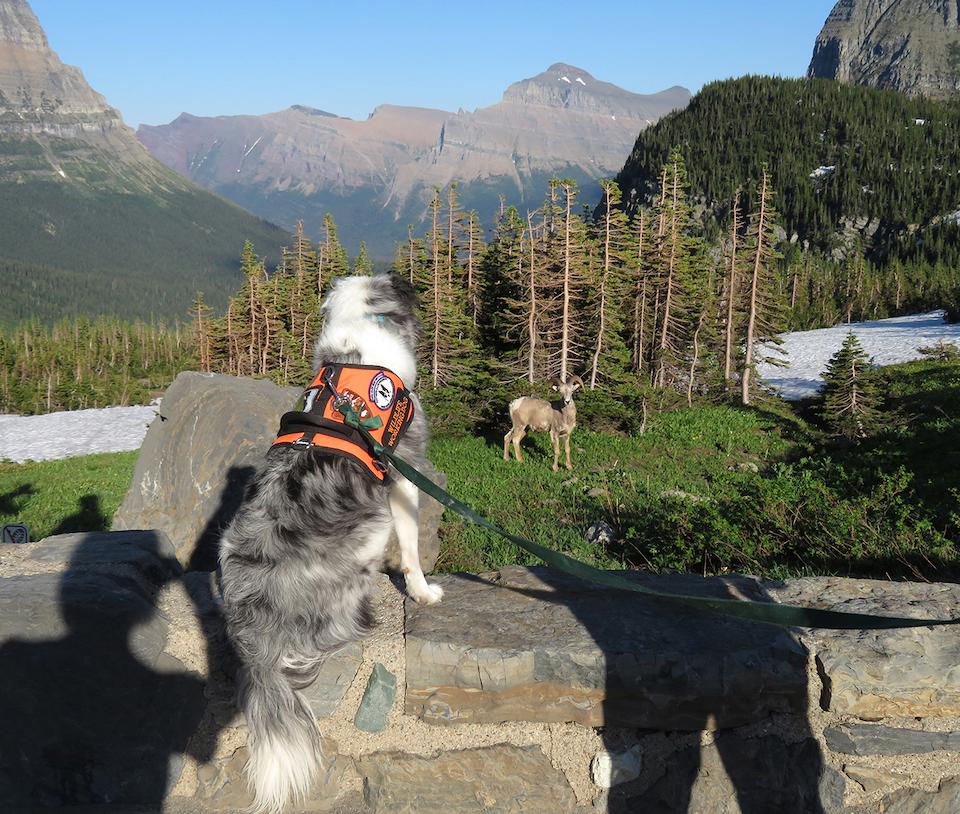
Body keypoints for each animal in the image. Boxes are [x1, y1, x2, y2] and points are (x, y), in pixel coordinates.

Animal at [218, 276, 442, 814]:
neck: (357, 352)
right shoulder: (403, 472)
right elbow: (411, 545)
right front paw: (423, 591)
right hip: (364, 537)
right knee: (333, 629)